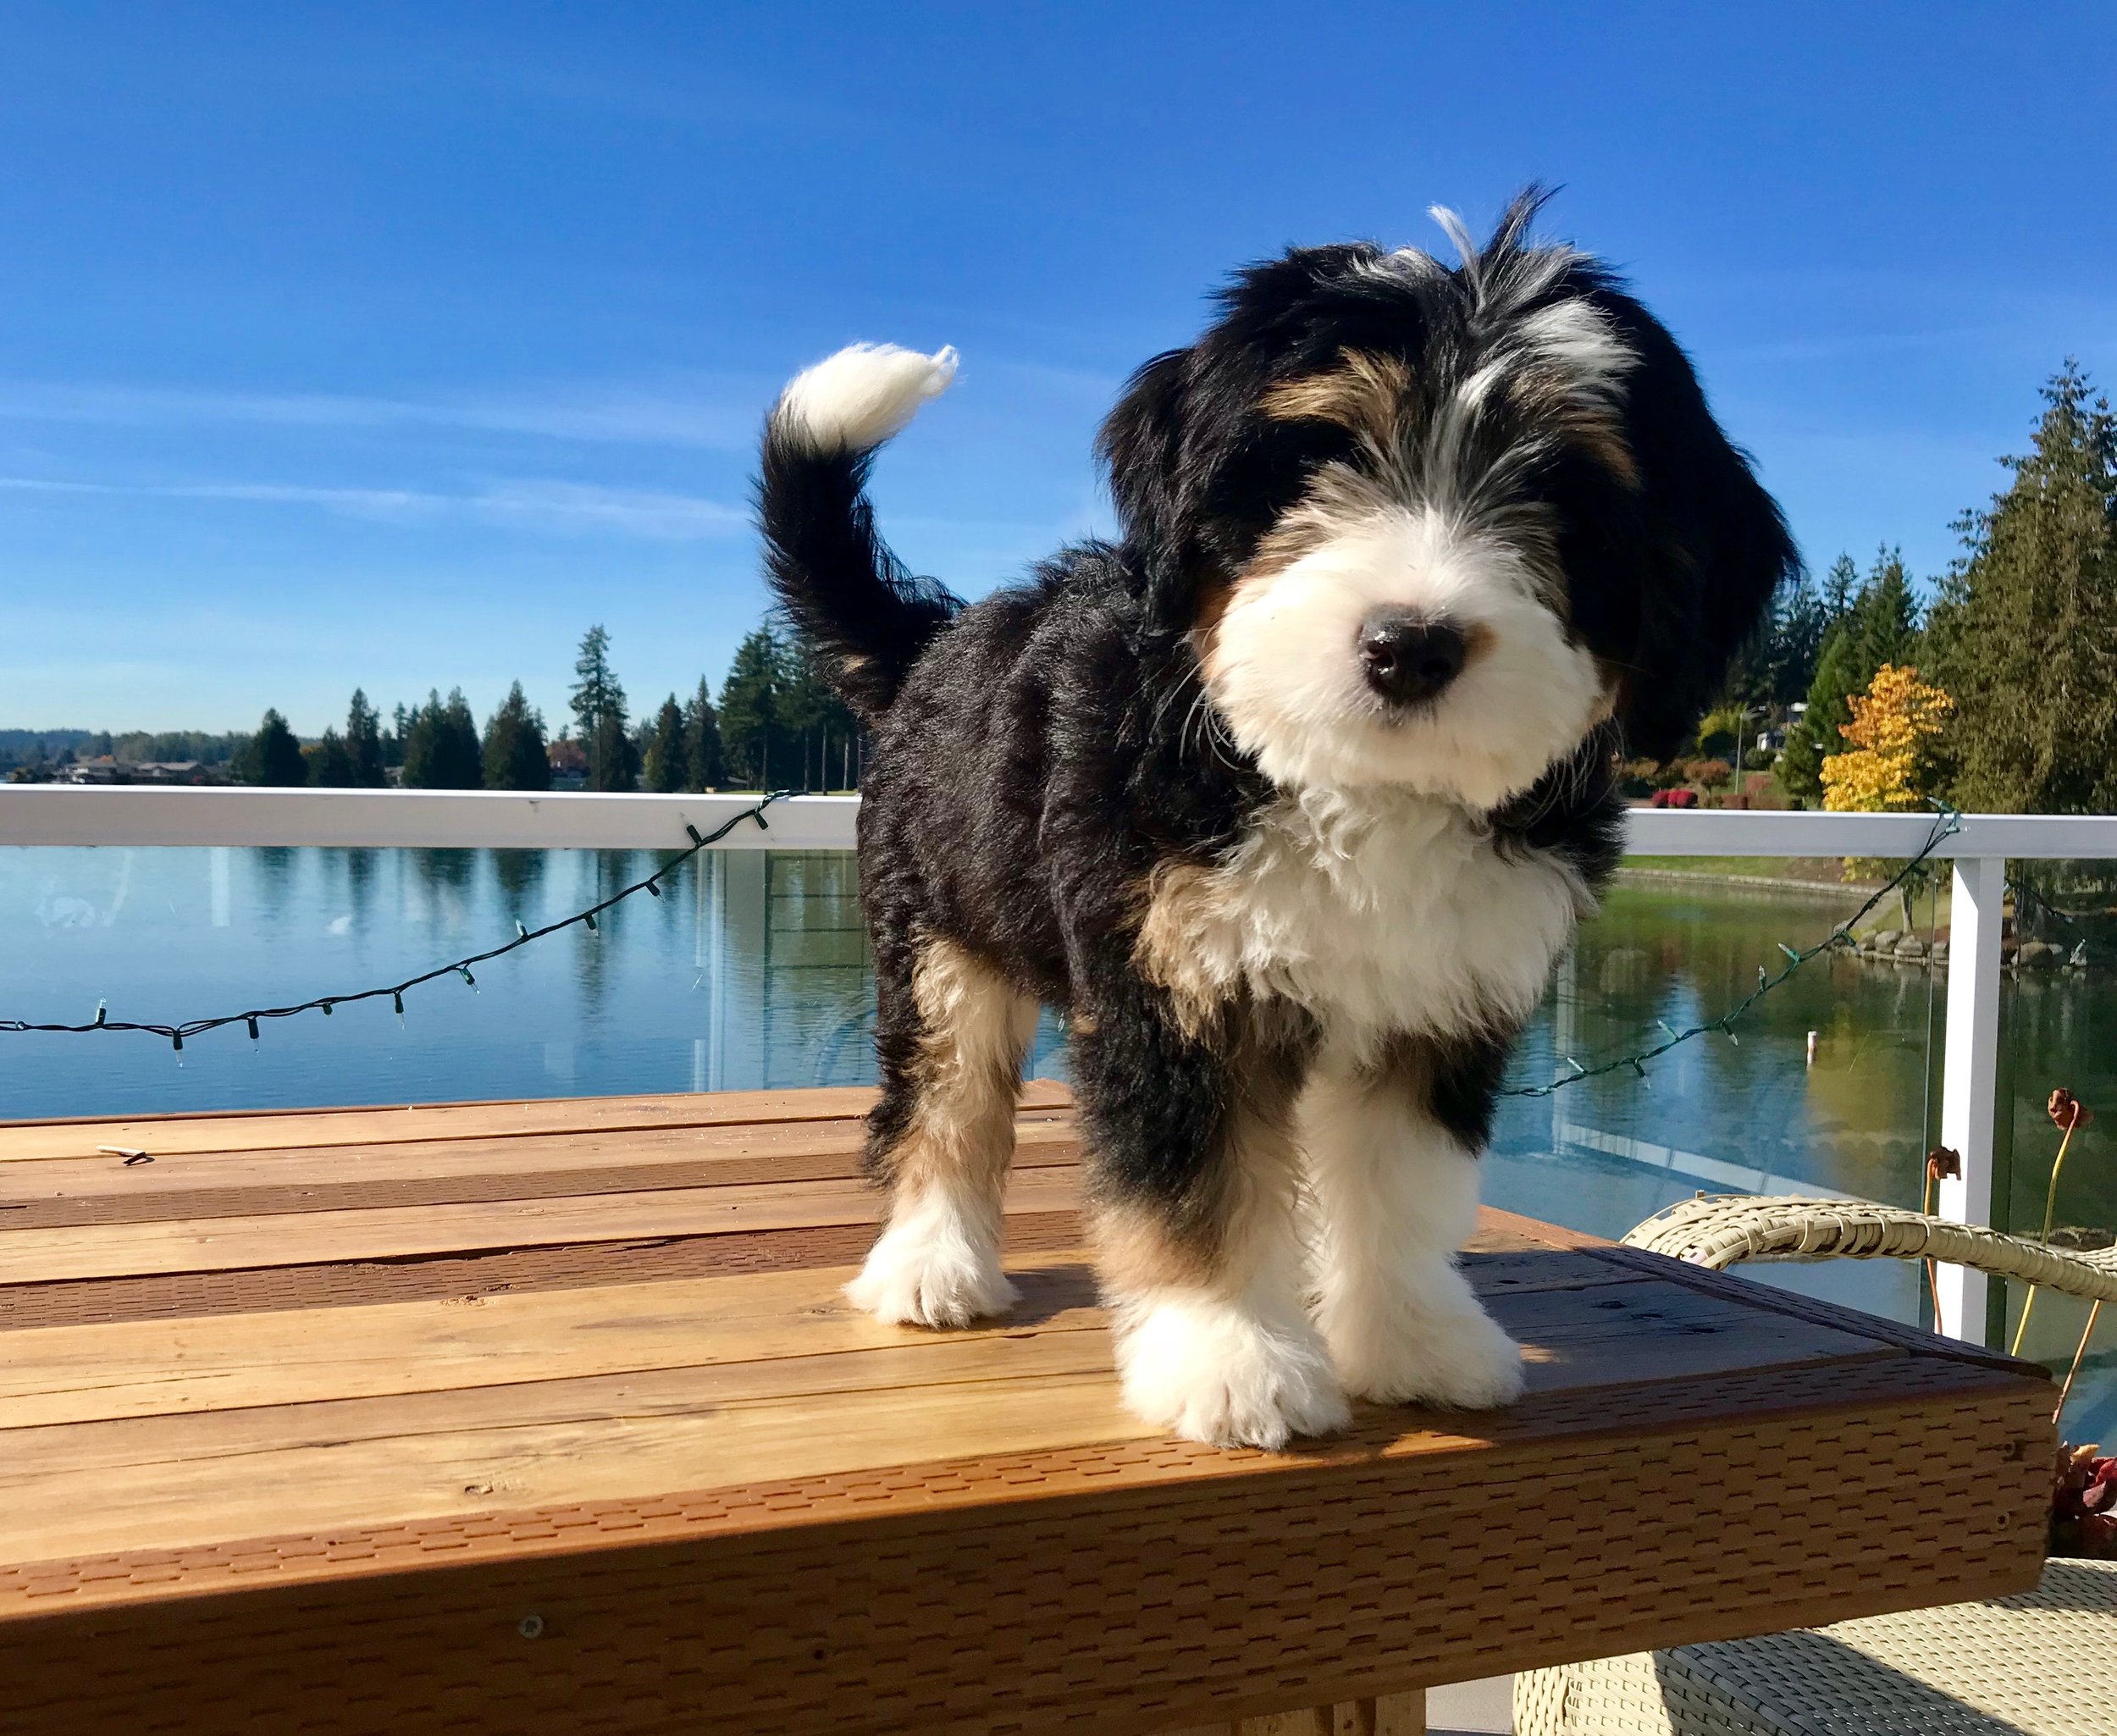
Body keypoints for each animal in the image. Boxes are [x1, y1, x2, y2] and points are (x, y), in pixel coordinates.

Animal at [754, 189, 1795, 1448]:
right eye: (1324, 454)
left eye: (1564, 495)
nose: (1411, 644)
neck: (1350, 783)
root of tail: (935, 643)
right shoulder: (1172, 980)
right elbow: (1195, 1181)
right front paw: (1232, 1357)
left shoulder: (1443, 1000)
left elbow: (1399, 1183)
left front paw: (1412, 1339)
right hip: (939, 929)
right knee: (945, 1096)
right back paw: (931, 1267)